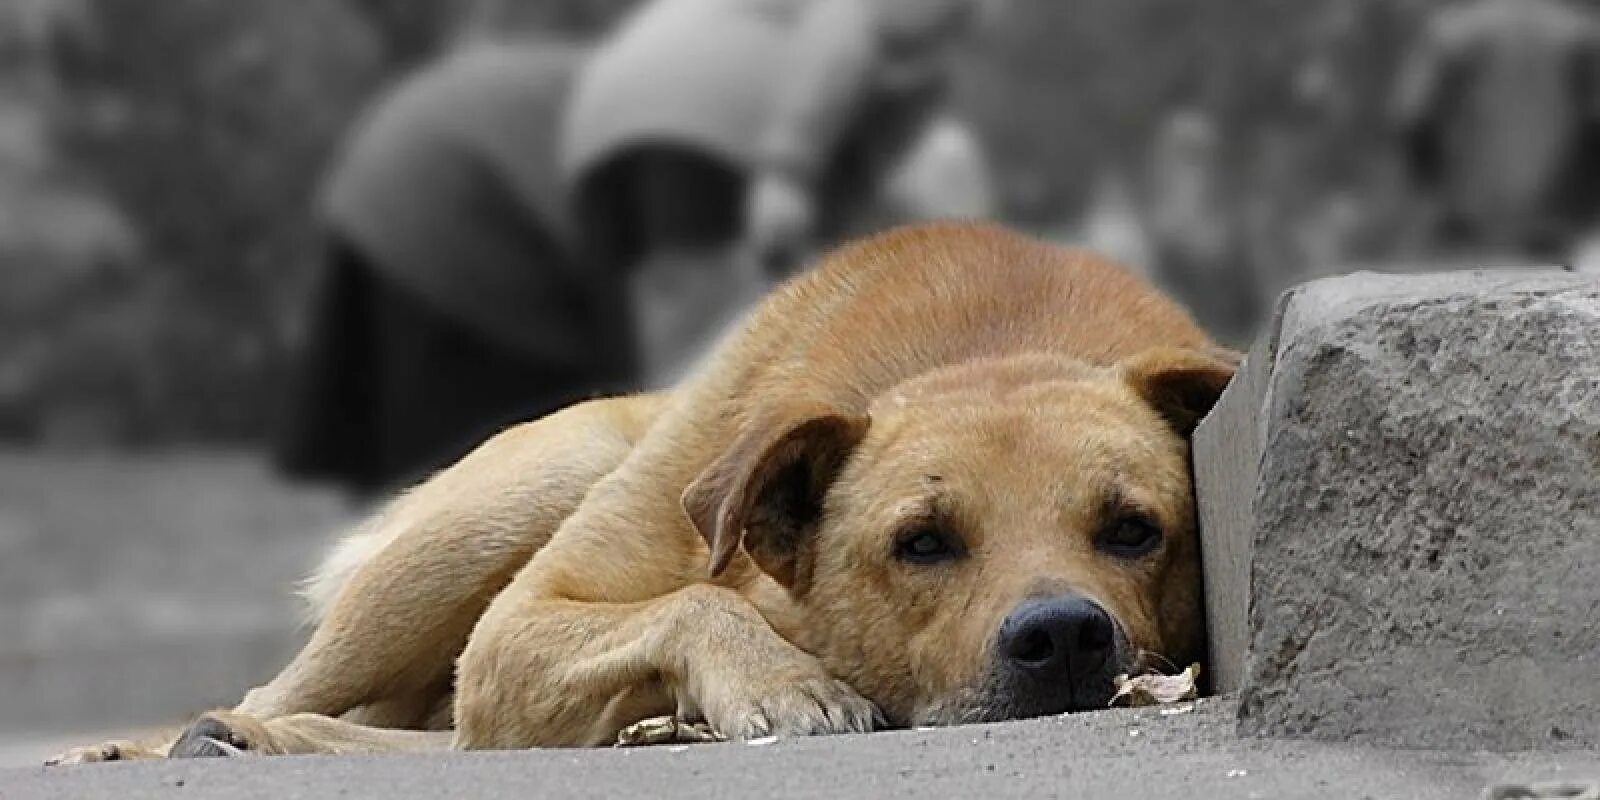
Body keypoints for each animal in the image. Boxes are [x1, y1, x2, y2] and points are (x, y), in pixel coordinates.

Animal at [43, 220, 1228, 761]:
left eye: (1135, 529)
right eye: (922, 541)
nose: (1063, 637)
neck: (993, 345)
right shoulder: (521, 622)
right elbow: (691, 596)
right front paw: (780, 682)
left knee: (445, 741)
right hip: (507, 511)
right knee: (287, 693)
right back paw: (172, 741)